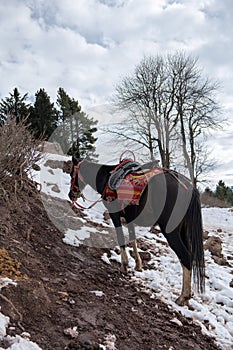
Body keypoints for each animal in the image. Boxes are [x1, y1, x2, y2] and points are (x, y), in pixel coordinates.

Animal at [68, 156, 205, 306]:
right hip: (182, 231)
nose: (71, 194)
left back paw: (183, 297)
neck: (107, 177)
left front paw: (124, 266)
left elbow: (121, 239)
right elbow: (133, 239)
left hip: (171, 231)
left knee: (185, 256)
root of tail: (189, 188)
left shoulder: (115, 215)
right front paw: (138, 264)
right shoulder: (129, 219)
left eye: (71, 173)